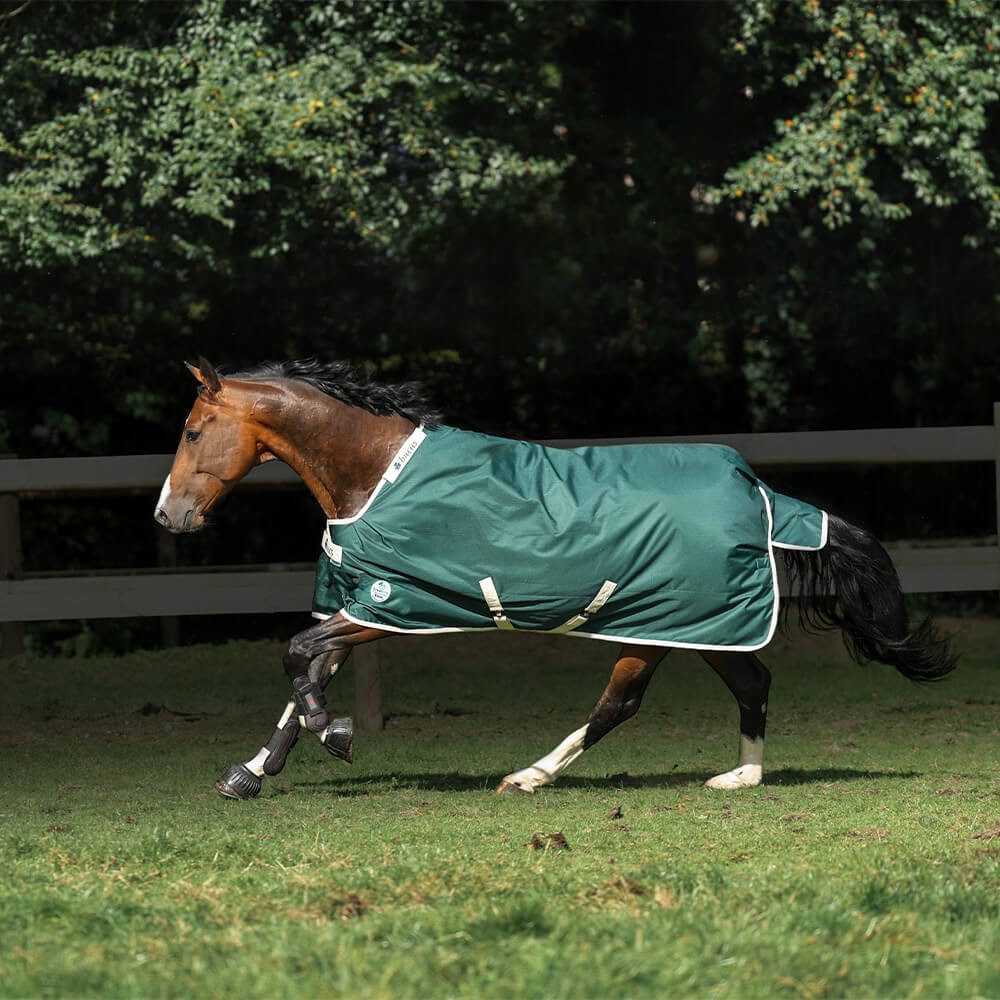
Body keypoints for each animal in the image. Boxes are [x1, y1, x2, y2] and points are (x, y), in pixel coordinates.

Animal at [154, 357, 956, 800]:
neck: (377, 476)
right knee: (752, 683)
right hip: (701, 627)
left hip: (655, 628)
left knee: (620, 704)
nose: (169, 515)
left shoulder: (390, 605)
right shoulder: (362, 605)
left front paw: (336, 735)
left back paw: (529, 776)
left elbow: (298, 659)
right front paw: (250, 773)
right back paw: (740, 778)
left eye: (192, 432)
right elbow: (305, 673)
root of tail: (756, 490)